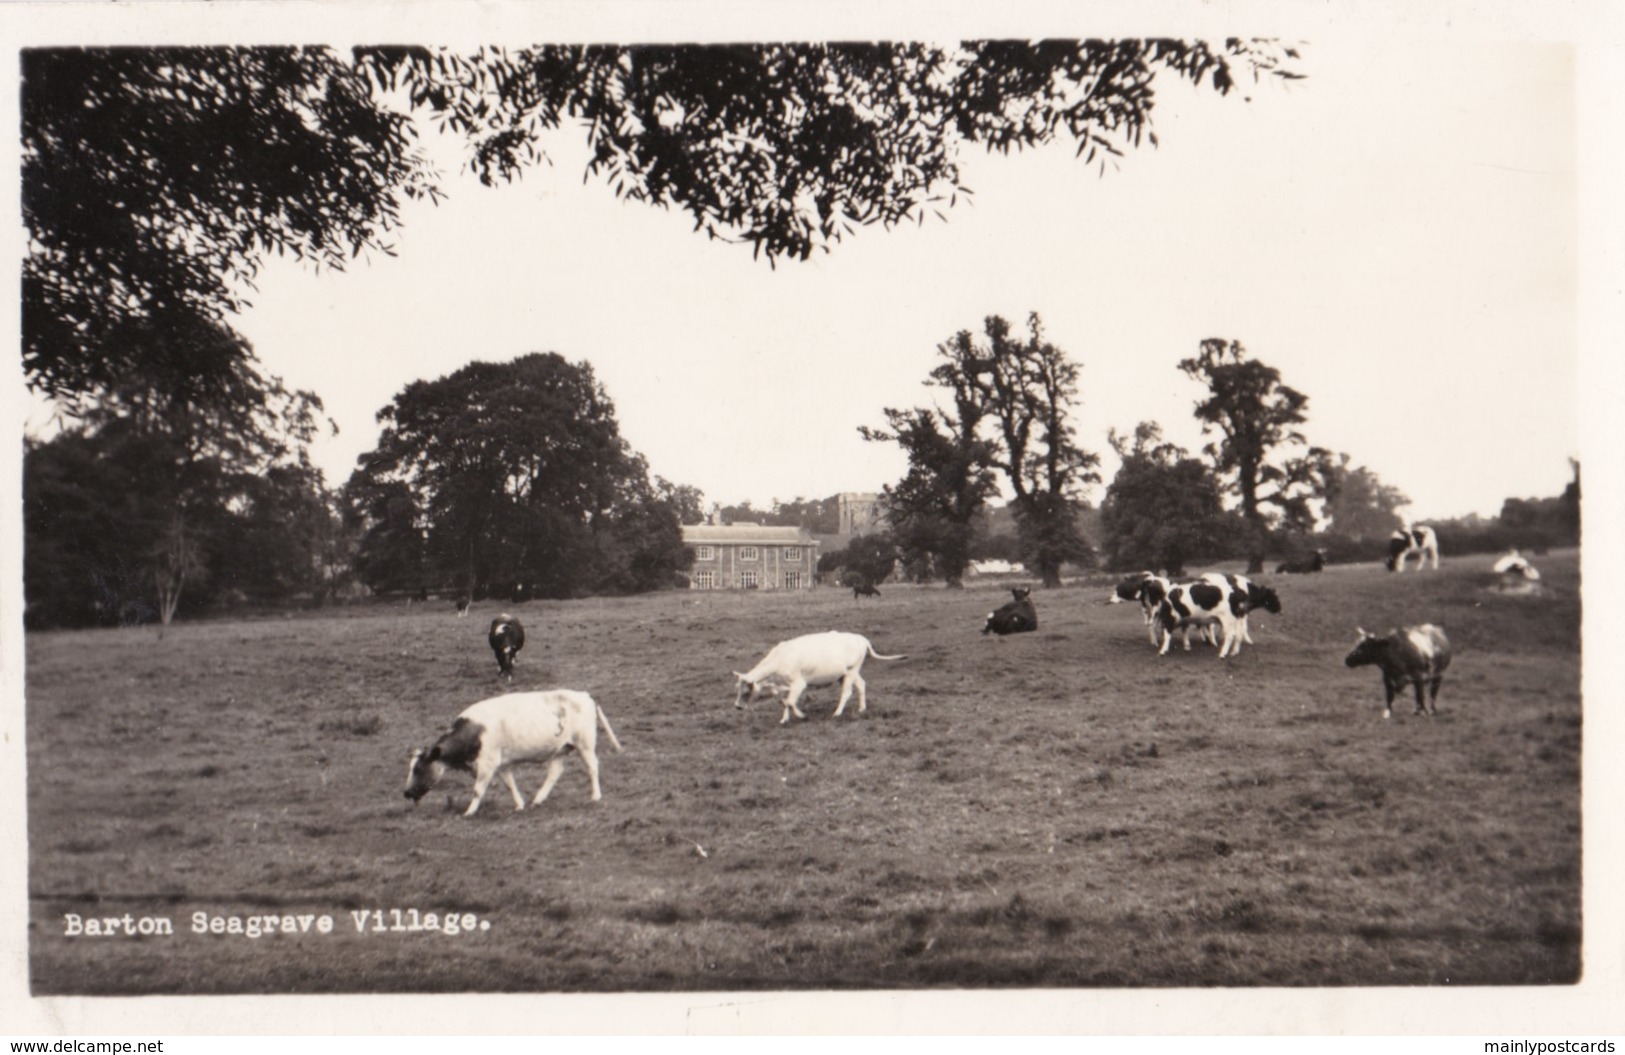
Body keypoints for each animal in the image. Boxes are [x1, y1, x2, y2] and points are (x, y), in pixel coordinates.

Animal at [734, 630, 910, 718]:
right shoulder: (785, 686)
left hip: (851, 671)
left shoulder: (799, 684)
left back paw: (837, 713)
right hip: (849, 673)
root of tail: (861, 638)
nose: (737, 707)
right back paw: (861, 708)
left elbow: (790, 702)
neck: (779, 659)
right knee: (861, 685)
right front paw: (784, 719)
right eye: (738, 689)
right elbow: (785, 702)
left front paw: (801, 715)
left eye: (746, 691)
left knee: (847, 692)